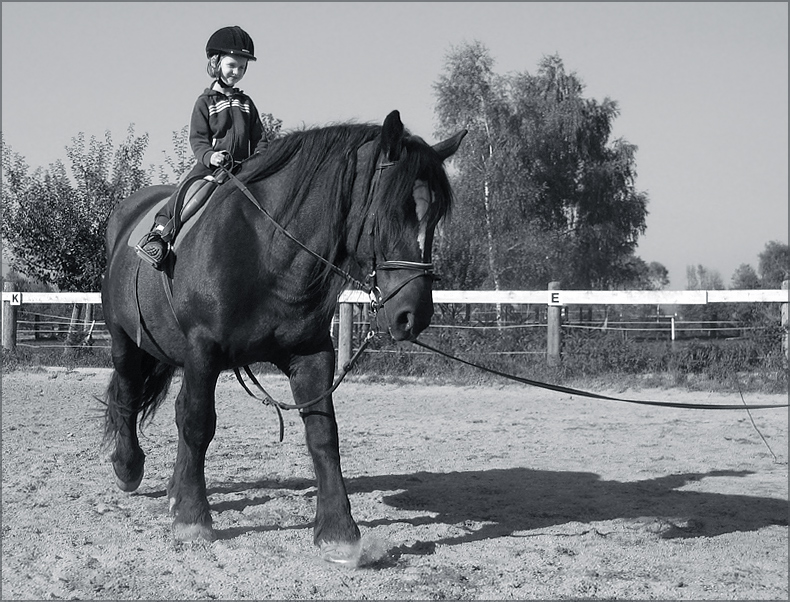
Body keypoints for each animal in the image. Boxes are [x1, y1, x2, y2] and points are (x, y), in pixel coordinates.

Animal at [102, 109, 468, 564]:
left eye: (434, 218)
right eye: (390, 212)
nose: (413, 315)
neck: (266, 249)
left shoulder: (311, 355)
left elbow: (323, 435)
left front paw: (339, 531)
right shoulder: (202, 351)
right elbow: (199, 423)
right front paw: (192, 518)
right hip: (124, 340)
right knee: (129, 392)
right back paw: (128, 466)